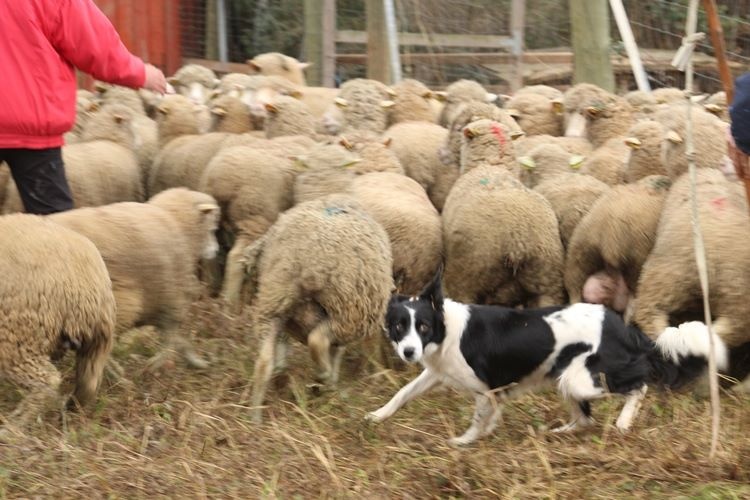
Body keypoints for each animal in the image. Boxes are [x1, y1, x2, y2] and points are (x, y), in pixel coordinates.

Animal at [0, 213, 114, 432]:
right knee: (88, 382)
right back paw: (72, 411)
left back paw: (16, 425)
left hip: (18, 335)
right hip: (96, 342)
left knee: (47, 380)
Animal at [242, 192, 396, 422]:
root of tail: (309, 257)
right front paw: (330, 382)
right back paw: (324, 376)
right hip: (346, 309)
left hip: (274, 301)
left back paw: (255, 416)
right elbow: (336, 352)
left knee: (264, 361)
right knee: (317, 340)